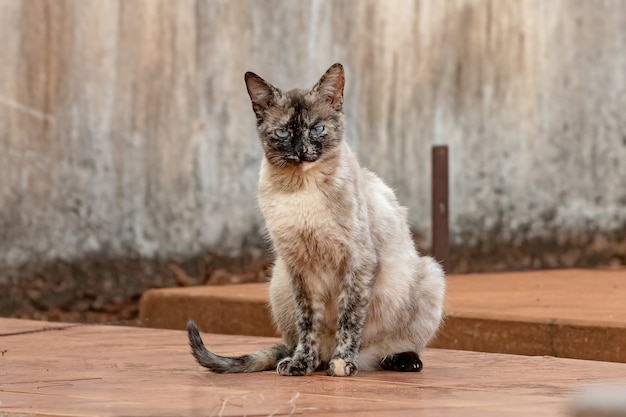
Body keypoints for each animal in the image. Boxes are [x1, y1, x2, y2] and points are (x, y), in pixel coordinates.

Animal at [185, 62, 444, 376]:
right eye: (283, 133)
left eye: (318, 129)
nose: (301, 152)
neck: (302, 188)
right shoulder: (301, 268)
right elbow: (308, 324)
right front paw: (302, 363)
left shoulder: (357, 262)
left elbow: (349, 321)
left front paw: (343, 364)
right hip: (279, 280)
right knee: (302, 343)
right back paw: (312, 361)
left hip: (430, 274)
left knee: (390, 348)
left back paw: (394, 360)